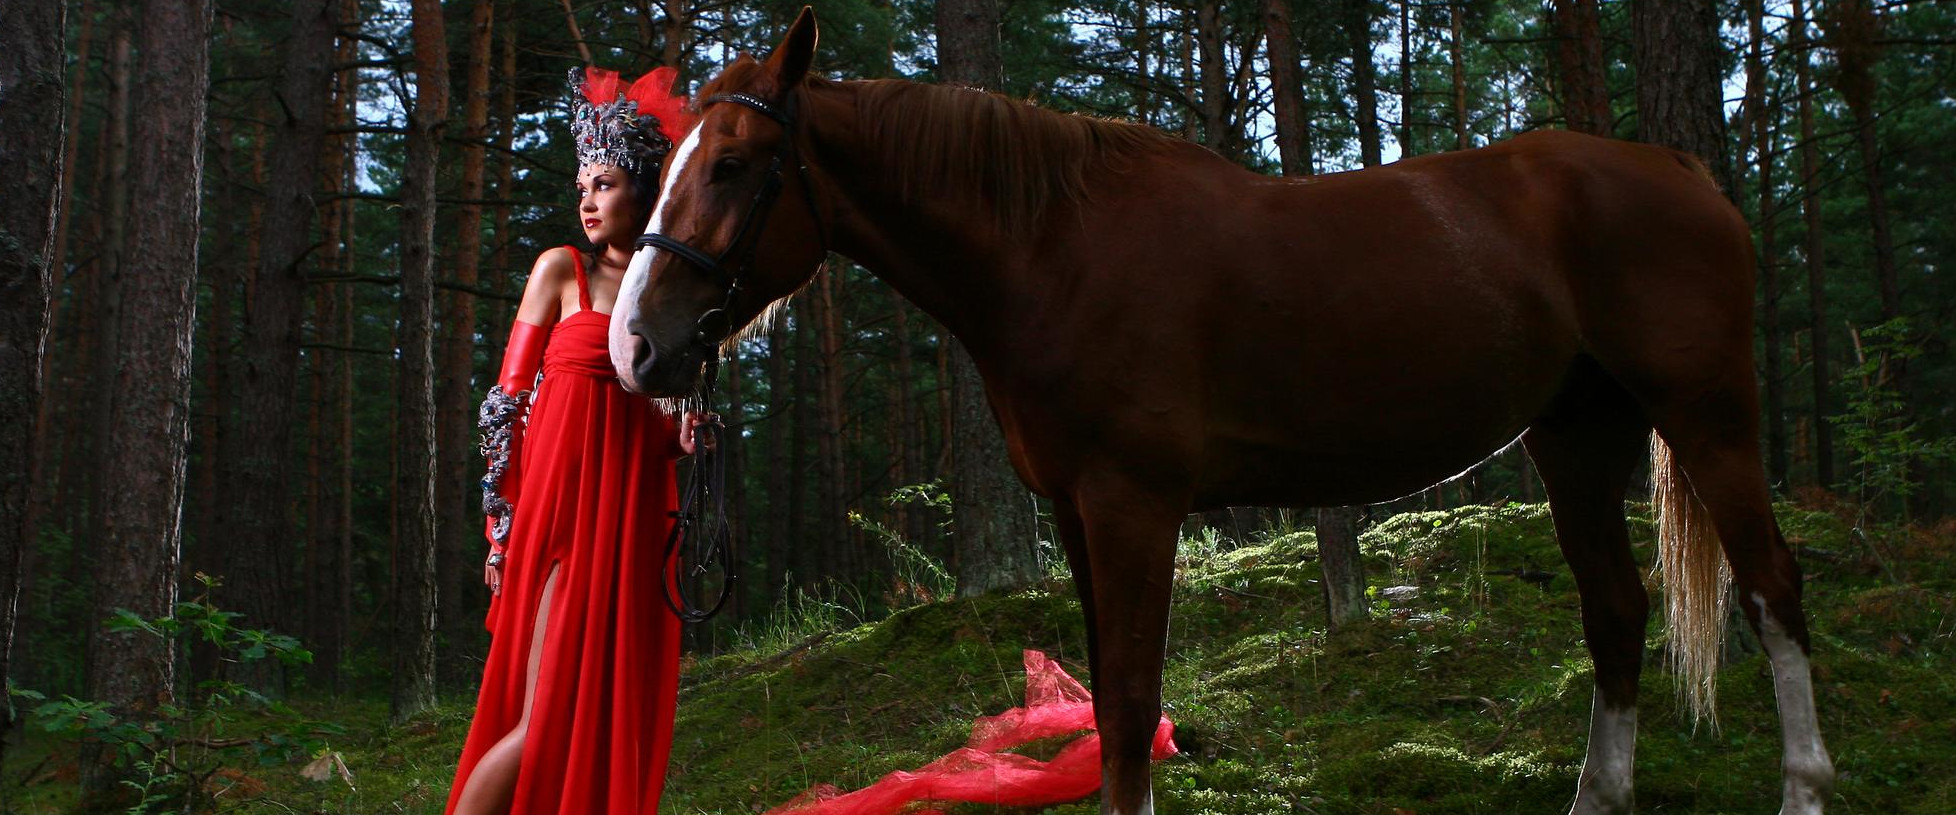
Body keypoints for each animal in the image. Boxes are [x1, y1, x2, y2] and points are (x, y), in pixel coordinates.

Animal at [610, 11, 1830, 813]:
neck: (1054, 251)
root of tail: (1683, 170)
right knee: (1617, 611)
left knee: (1772, 589)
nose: (638, 345)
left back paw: (1803, 784)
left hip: (1709, 416)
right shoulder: (1078, 517)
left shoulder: (1136, 507)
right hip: (1577, 436)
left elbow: (1132, 700)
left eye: (733, 165)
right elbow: (1110, 708)